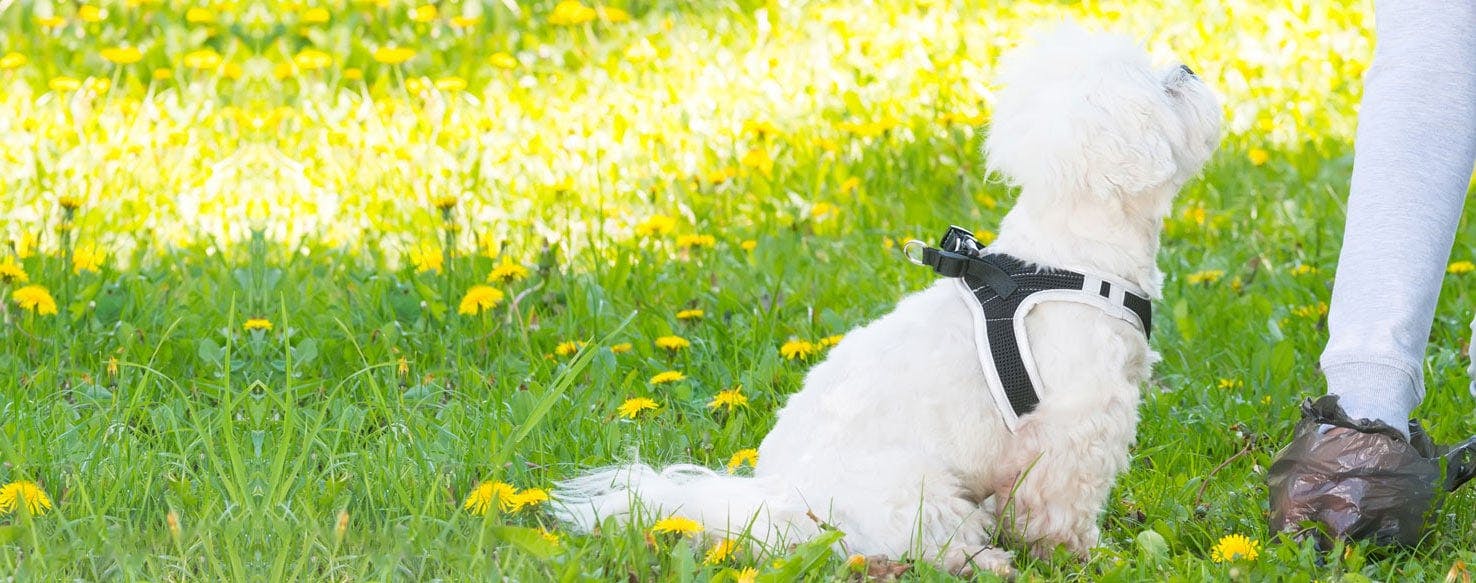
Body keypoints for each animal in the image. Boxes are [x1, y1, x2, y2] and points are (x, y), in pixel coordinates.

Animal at [554, 25, 1222, 578]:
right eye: (1164, 88)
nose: (1190, 67)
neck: (1074, 257)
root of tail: (780, 503)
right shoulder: (1075, 426)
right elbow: (1061, 506)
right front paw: (1081, 555)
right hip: (916, 493)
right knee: (923, 543)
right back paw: (983, 560)